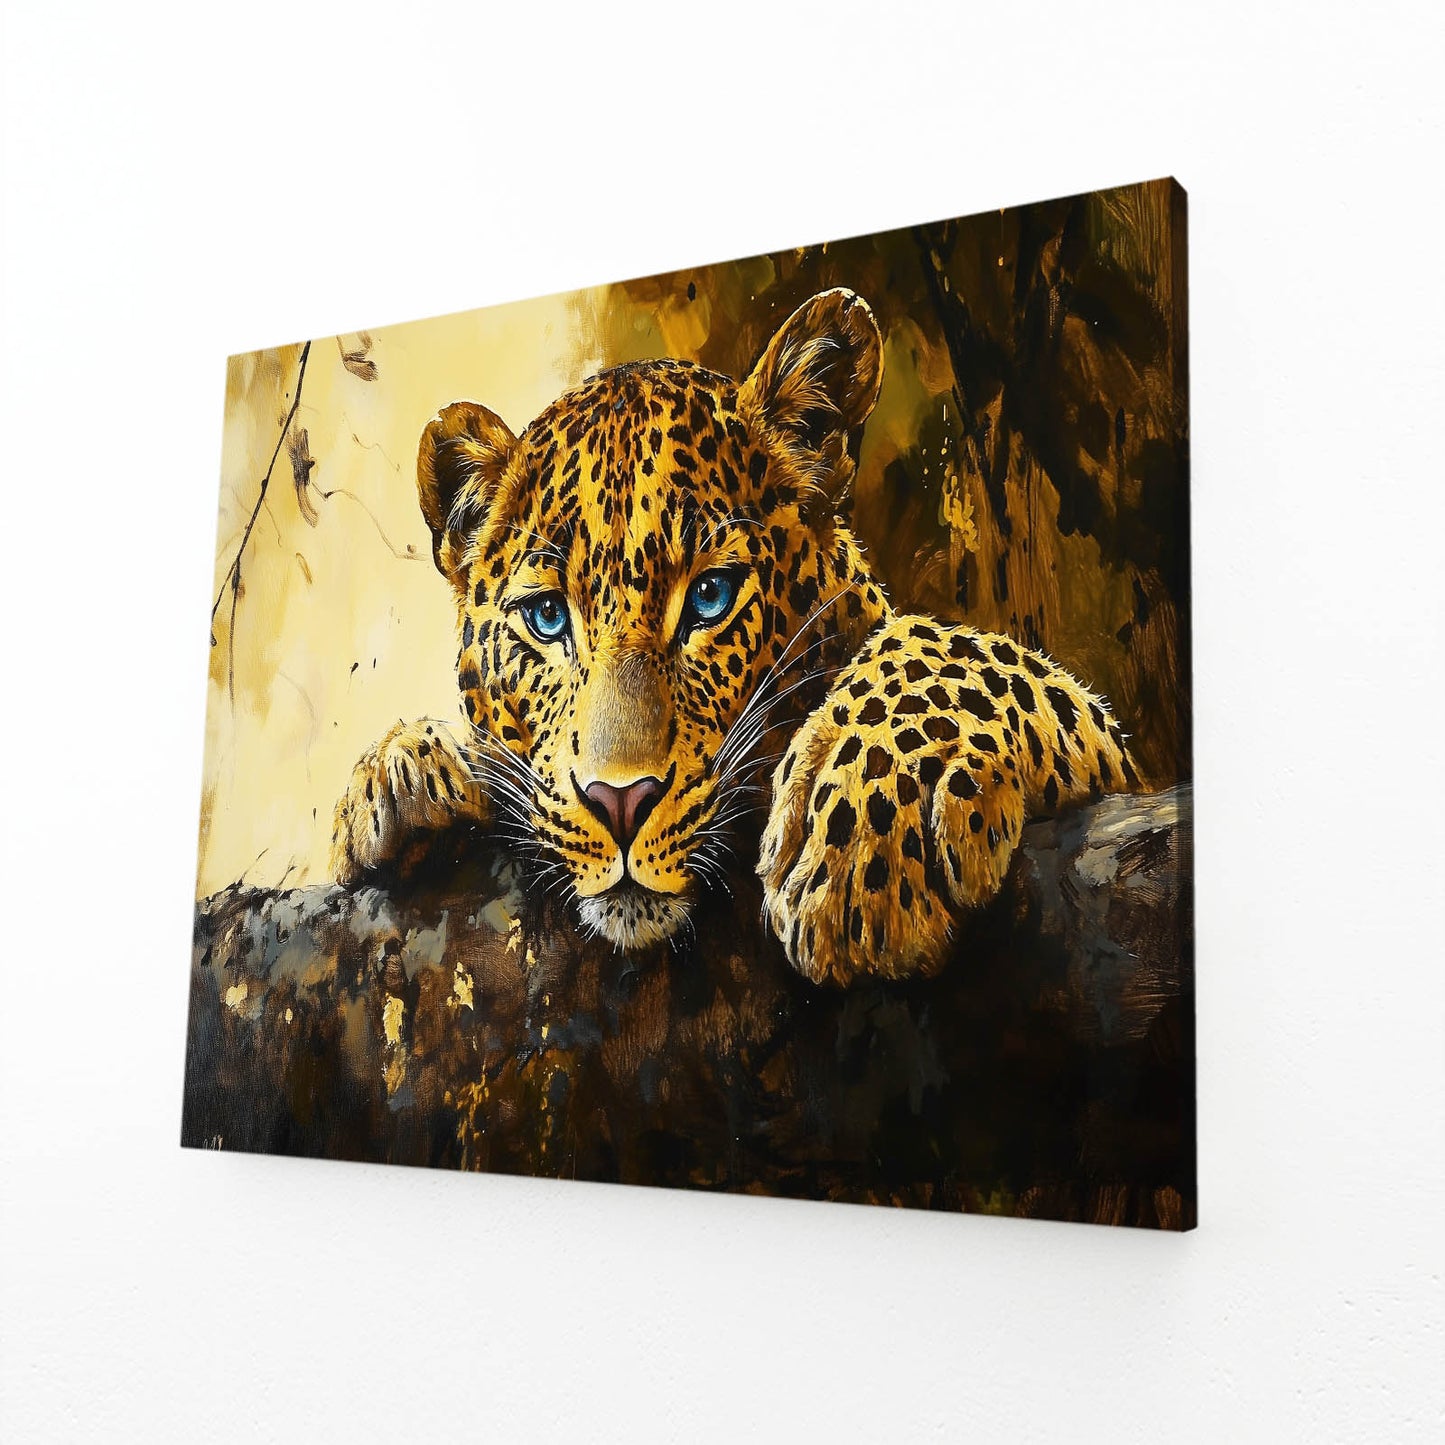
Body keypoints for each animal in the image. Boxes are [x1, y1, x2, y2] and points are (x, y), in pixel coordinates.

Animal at [330, 288, 1139, 987]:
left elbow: (964, 654)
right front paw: (403, 774)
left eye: (710, 598)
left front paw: (861, 838)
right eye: (548, 618)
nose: (619, 803)